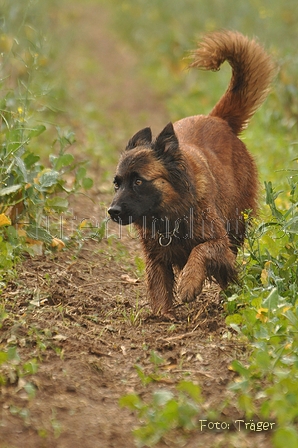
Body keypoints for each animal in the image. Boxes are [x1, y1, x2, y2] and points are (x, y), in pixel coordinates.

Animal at [107, 29, 274, 316]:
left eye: (138, 181)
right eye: (117, 184)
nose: (112, 211)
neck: (170, 214)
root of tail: (218, 120)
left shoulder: (218, 242)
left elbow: (200, 252)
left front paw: (189, 283)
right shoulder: (156, 257)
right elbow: (159, 288)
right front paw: (162, 316)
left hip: (236, 227)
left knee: (228, 271)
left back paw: (230, 298)